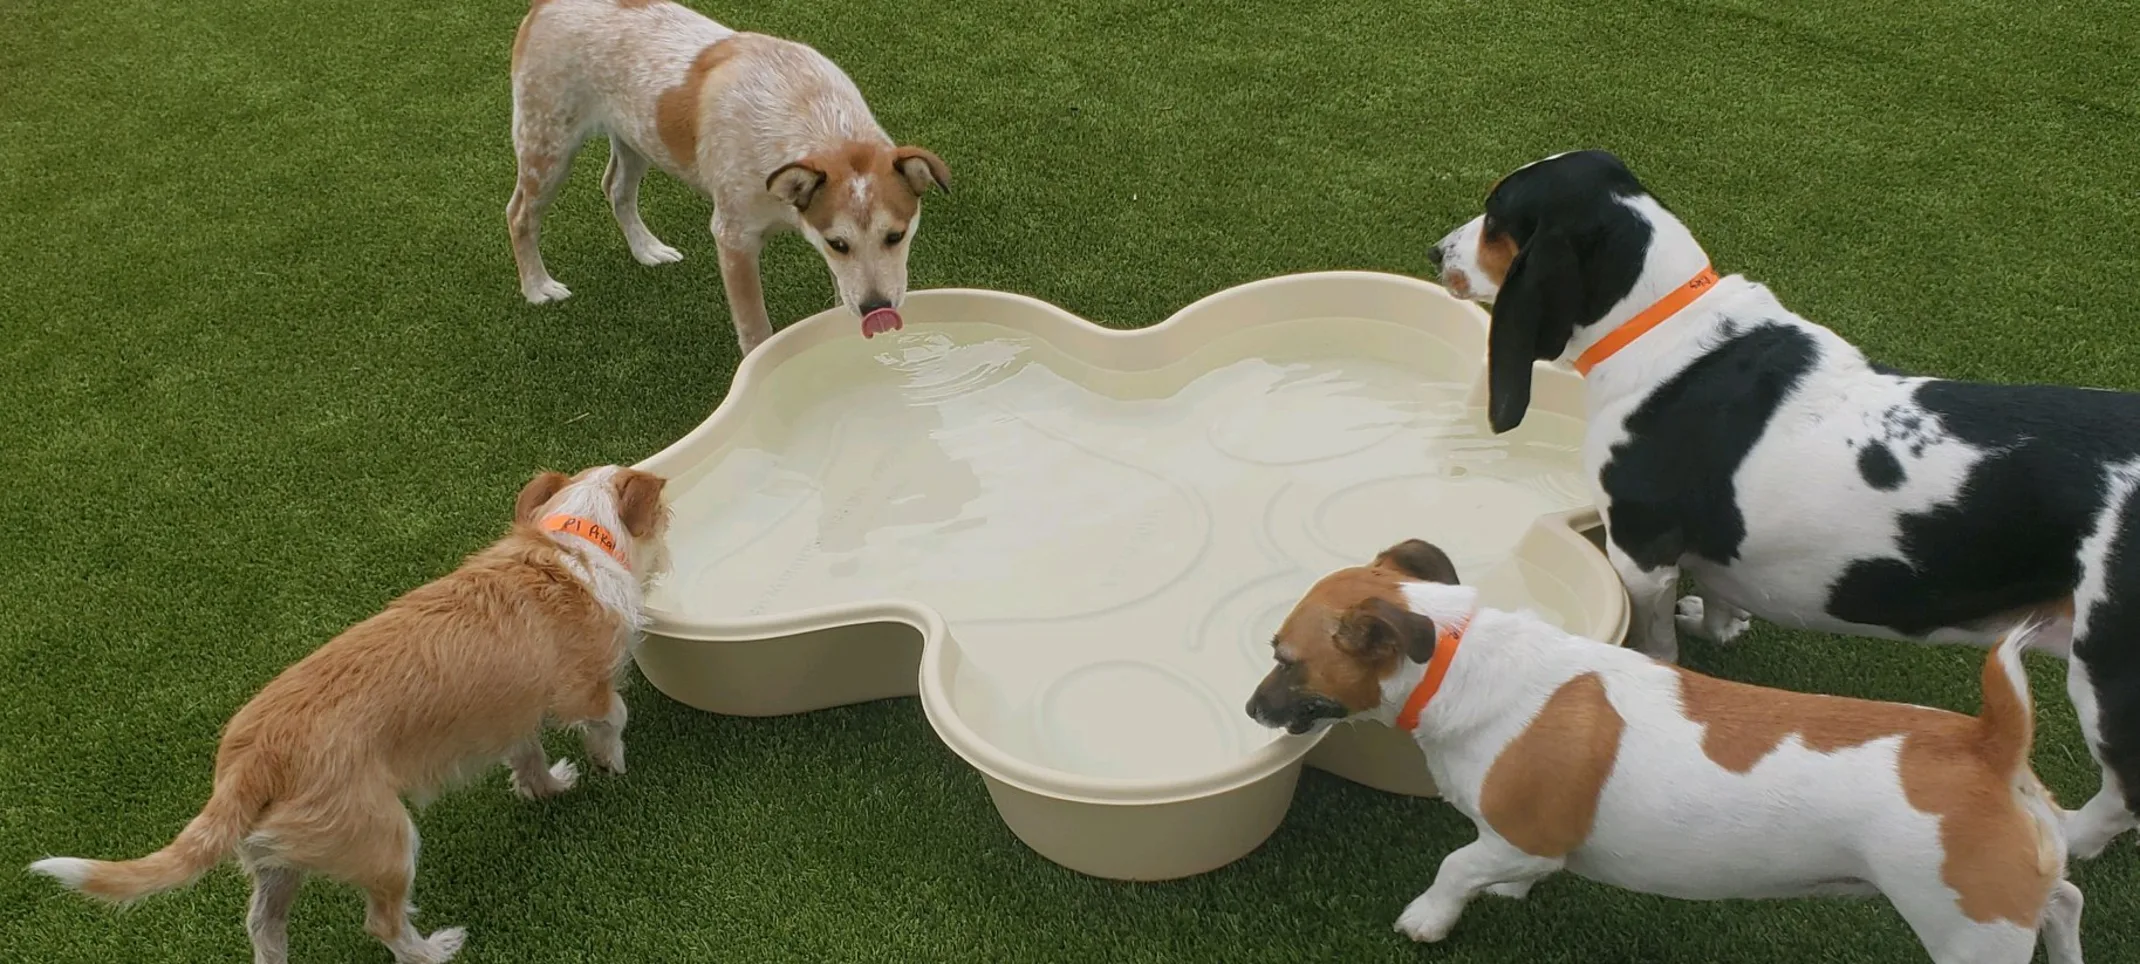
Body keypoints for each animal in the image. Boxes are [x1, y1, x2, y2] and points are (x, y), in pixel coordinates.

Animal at [27, 462, 667, 959]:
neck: (571, 546)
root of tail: (253, 759)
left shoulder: (511, 713)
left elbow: (527, 756)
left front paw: (547, 786)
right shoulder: (583, 689)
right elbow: (612, 716)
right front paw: (612, 763)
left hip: (278, 857)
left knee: (263, 925)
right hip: (385, 841)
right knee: (382, 923)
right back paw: (434, 951)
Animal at [505, 0, 950, 353]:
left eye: (895, 236)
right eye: (838, 242)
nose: (878, 309)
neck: (812, 115)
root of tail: (543, 4)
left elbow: (842, 292)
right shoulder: (734, 238)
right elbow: (756, 328)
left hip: (637, 135)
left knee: (615, 188)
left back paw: (647, 249)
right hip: (548, 144)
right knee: (520, 213)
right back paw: (538, 288)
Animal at [1249, 541, 2080, 964]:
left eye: (1285, 659)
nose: (1254, 709)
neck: (1457, 659)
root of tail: (1990, 742)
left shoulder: (1522, 834)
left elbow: (1455, 865)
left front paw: (1428, 919)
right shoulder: (1517, 844)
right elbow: (1488, 865)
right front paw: (1506, 892)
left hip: (1969, 932)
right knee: (2064, 900)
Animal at [1429, 151, 2140, 856]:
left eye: (1497, 218)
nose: (1437, 252)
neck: (1661, 330)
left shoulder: (1638, 554)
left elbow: (1655, 640)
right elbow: (1720, 593)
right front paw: (1719, 623)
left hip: (2106, 678)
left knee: (2121, 798)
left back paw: (2068, 834)